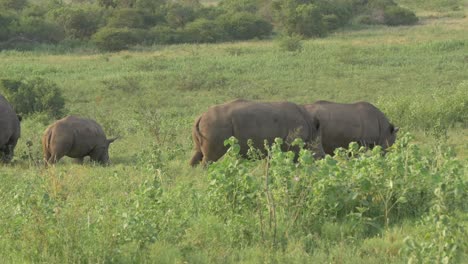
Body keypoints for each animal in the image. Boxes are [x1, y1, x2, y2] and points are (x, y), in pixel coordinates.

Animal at [188, 99, 324, 167]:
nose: (323, 157)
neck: (312, 129)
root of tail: (201, 116)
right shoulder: (293, 145)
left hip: (207, 125)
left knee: (198, 153)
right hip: (215, 125)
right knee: (210, 158)